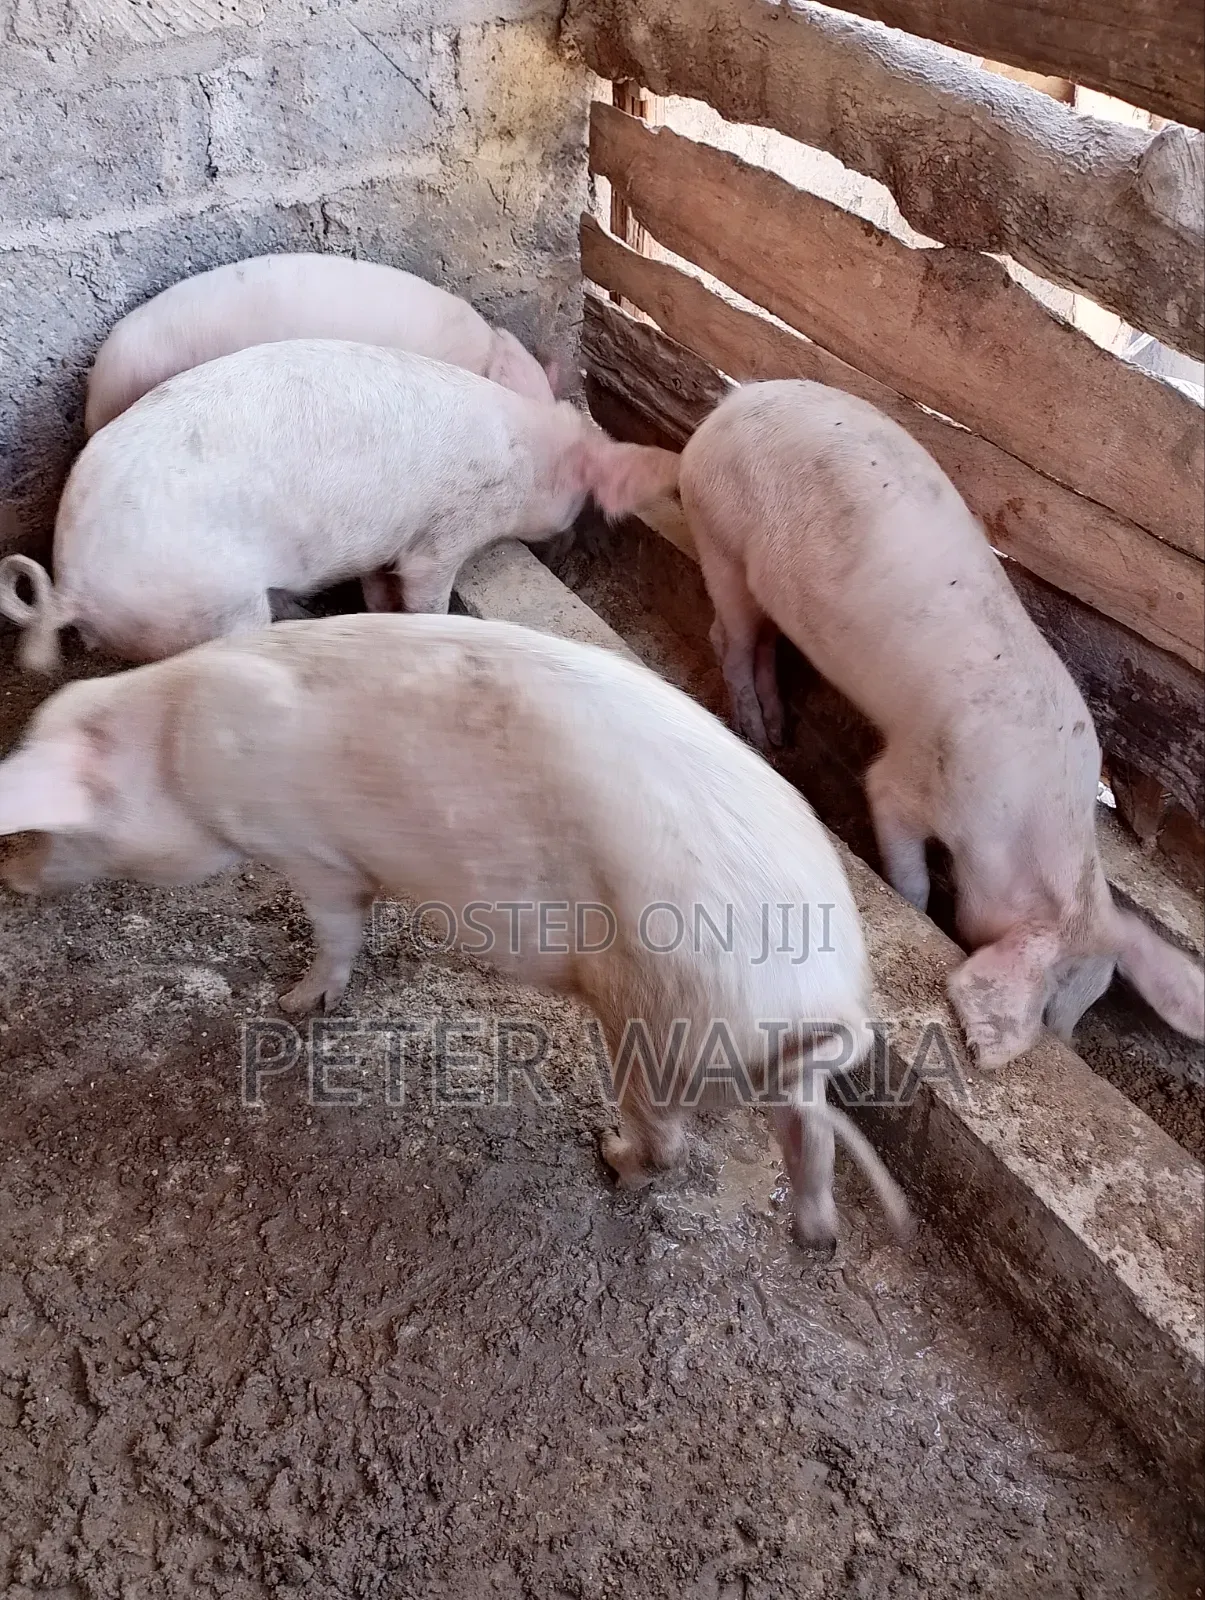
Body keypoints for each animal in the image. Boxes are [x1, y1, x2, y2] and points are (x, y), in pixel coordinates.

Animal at [0, 340, 679, 673]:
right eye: (583, 498)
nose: (569, 549)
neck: (529, 456)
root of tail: (70, 590)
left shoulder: (384, 543)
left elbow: (380, 585)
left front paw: (378, 614)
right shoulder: (447, 528)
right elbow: (426, 588)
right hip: (209, 603)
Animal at [0, 611, 912, 1250]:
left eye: (45, 829)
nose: (11, 878)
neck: (177, 747)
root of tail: (822, 993)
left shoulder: (309, 851)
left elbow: (336, 930)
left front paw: (294, 1003)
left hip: (657, 1019)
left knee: (671, 1145)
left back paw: (608, 1154)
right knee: (810, 1134)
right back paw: (818, 1239)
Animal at [678, 379, 1205, 1069]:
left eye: (1086, 1007)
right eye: (1049, 1006)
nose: (1061, 1043)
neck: (1023, 834)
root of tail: (734, 403)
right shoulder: (908, 784)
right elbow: (911, 870)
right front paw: (917, 910)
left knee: (759, 643)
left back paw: (780, 731)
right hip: (720, 535)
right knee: (731, 640)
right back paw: (756, 738)